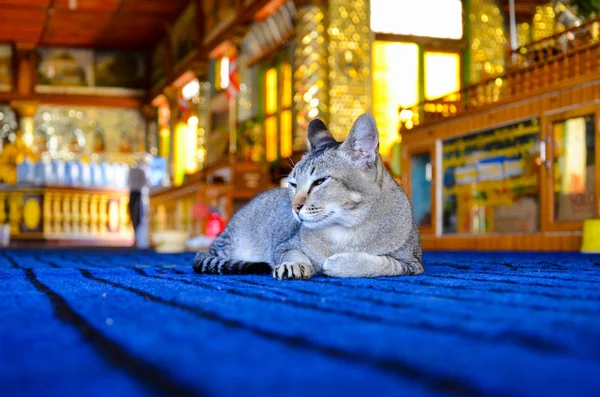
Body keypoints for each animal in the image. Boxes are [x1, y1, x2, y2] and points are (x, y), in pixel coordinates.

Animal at [195, 112, 424, 278]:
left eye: (319, 182)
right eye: (293, 184)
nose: (295, 207)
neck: (347, 230)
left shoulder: (412, 263)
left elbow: (380, 264)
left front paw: (337, 262)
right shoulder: (285, 245)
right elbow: (291, 253)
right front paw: (294, 265)